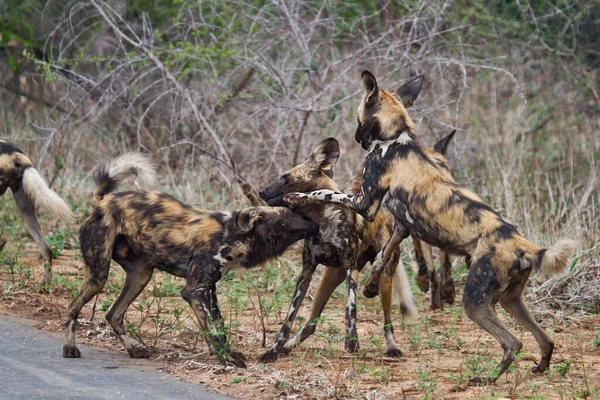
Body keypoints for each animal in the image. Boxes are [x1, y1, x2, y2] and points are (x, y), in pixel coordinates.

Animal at [62, 152, 318, 368]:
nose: (314, 222)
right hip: (99, 275)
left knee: (113, 314)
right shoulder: (194, 291)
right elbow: (212, 330)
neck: (234, 236)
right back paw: (70, 348)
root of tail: (101, 203)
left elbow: (219, 326)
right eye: (290, 214)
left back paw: (134, 349)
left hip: (140, 276)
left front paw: (224, 354)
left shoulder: (209, 290)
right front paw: (226, 358)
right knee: (74, 307)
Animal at [258, 138, 418, 362]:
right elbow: (289, 319)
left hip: (384, 278)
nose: (261, 192)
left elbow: (350, 307)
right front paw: (273, 350)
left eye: (285, 177)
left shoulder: (351, 267)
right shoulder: (306, 273)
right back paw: (288, 347)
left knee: (387, 318)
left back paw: (392, 346)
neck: (322, 218)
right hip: (329, 279)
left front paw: (352, 340)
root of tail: (386, 213)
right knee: (311, 323)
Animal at [284, 69, 580, 384]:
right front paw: (371, 287)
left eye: (358, 118)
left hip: (475, 303)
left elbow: (325, 193)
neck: (396, 140)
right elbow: (382, 258)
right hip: (510, 301)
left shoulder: (365, 203)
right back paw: (539, 368)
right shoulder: (402, 226)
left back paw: (487, 378)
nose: (356, 138)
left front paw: (295, 196)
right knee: (545, 339)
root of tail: (522, 243)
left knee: (513, 342)